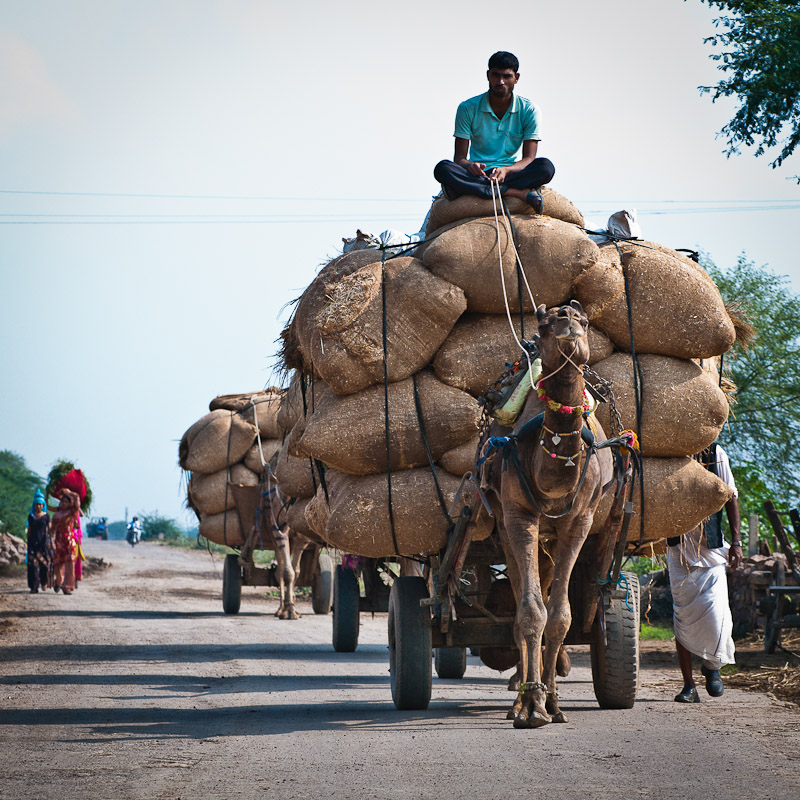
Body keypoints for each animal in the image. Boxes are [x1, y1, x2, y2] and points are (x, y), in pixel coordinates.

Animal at [484, 304, 616, 728]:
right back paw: (519, 699)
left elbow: (560, 616)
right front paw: (531, 706)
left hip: (552, 536)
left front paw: (554, 703)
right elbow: (530, 613)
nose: (568, 323)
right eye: (544, 323)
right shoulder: (519, 517)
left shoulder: (579, 521)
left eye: (586, 321)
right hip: (507, 528)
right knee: (522, 606)